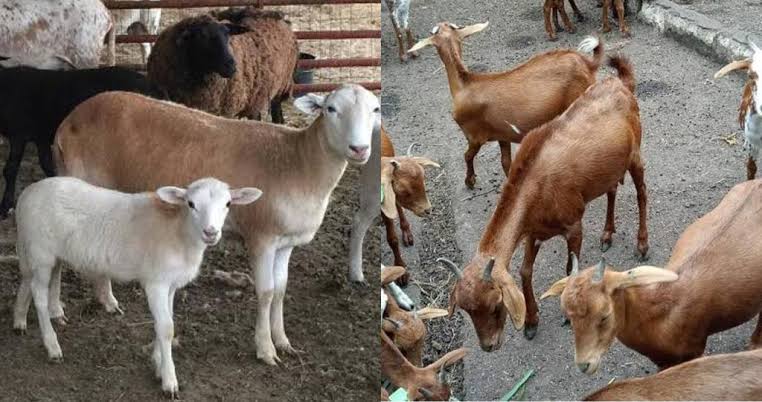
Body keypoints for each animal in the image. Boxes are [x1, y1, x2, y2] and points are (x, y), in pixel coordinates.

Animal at [13, 177, 261, 397]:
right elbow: (166, 328)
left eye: (228, 204)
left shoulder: (170, 284)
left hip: (43, 251)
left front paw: (158, 364)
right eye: (191, 204)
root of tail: (26, 194)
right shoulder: (156, 283)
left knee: (33, 278)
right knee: (39, 294)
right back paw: (52, 345)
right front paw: (169, 381)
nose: (210, 232)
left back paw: (20, 319)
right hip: (41, 250)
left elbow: (166, 323)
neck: (179, 232)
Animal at [53, 84, 379, 366]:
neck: (299, 162)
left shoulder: (286, 243)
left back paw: (104, 300)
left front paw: (283, 341)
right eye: (331, 109)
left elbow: (281, 290)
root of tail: (69, 120)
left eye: (375, 109)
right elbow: (266, 292)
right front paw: (265, 349)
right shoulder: (261, 238)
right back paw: (62, 309)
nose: (360, 149)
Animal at [408, 23, 603, 188]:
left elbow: (467, 156)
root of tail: (588, 64)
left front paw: (470, 181)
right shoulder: (502, 135)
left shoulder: (474, 137)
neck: (465, 84)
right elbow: (505, 162)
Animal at [441, 55, 648, 350]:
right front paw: (531, 322)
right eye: (467, 310)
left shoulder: (574, 224)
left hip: (635, 153)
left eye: (495, 305)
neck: (535, 187)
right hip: (610, 166)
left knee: (642, 192)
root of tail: (622, 84)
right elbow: (525, 271)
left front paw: (566, 314)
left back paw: (642, 244)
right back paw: (607, 234)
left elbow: (569, 269)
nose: (489, 345)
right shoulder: (533, 231)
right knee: (611, 191)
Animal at [542, 179, 762, 373]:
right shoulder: (662, 361)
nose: (584, 365)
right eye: (569, 317)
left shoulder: (694, 351)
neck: (659, 310)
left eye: (604, 315)